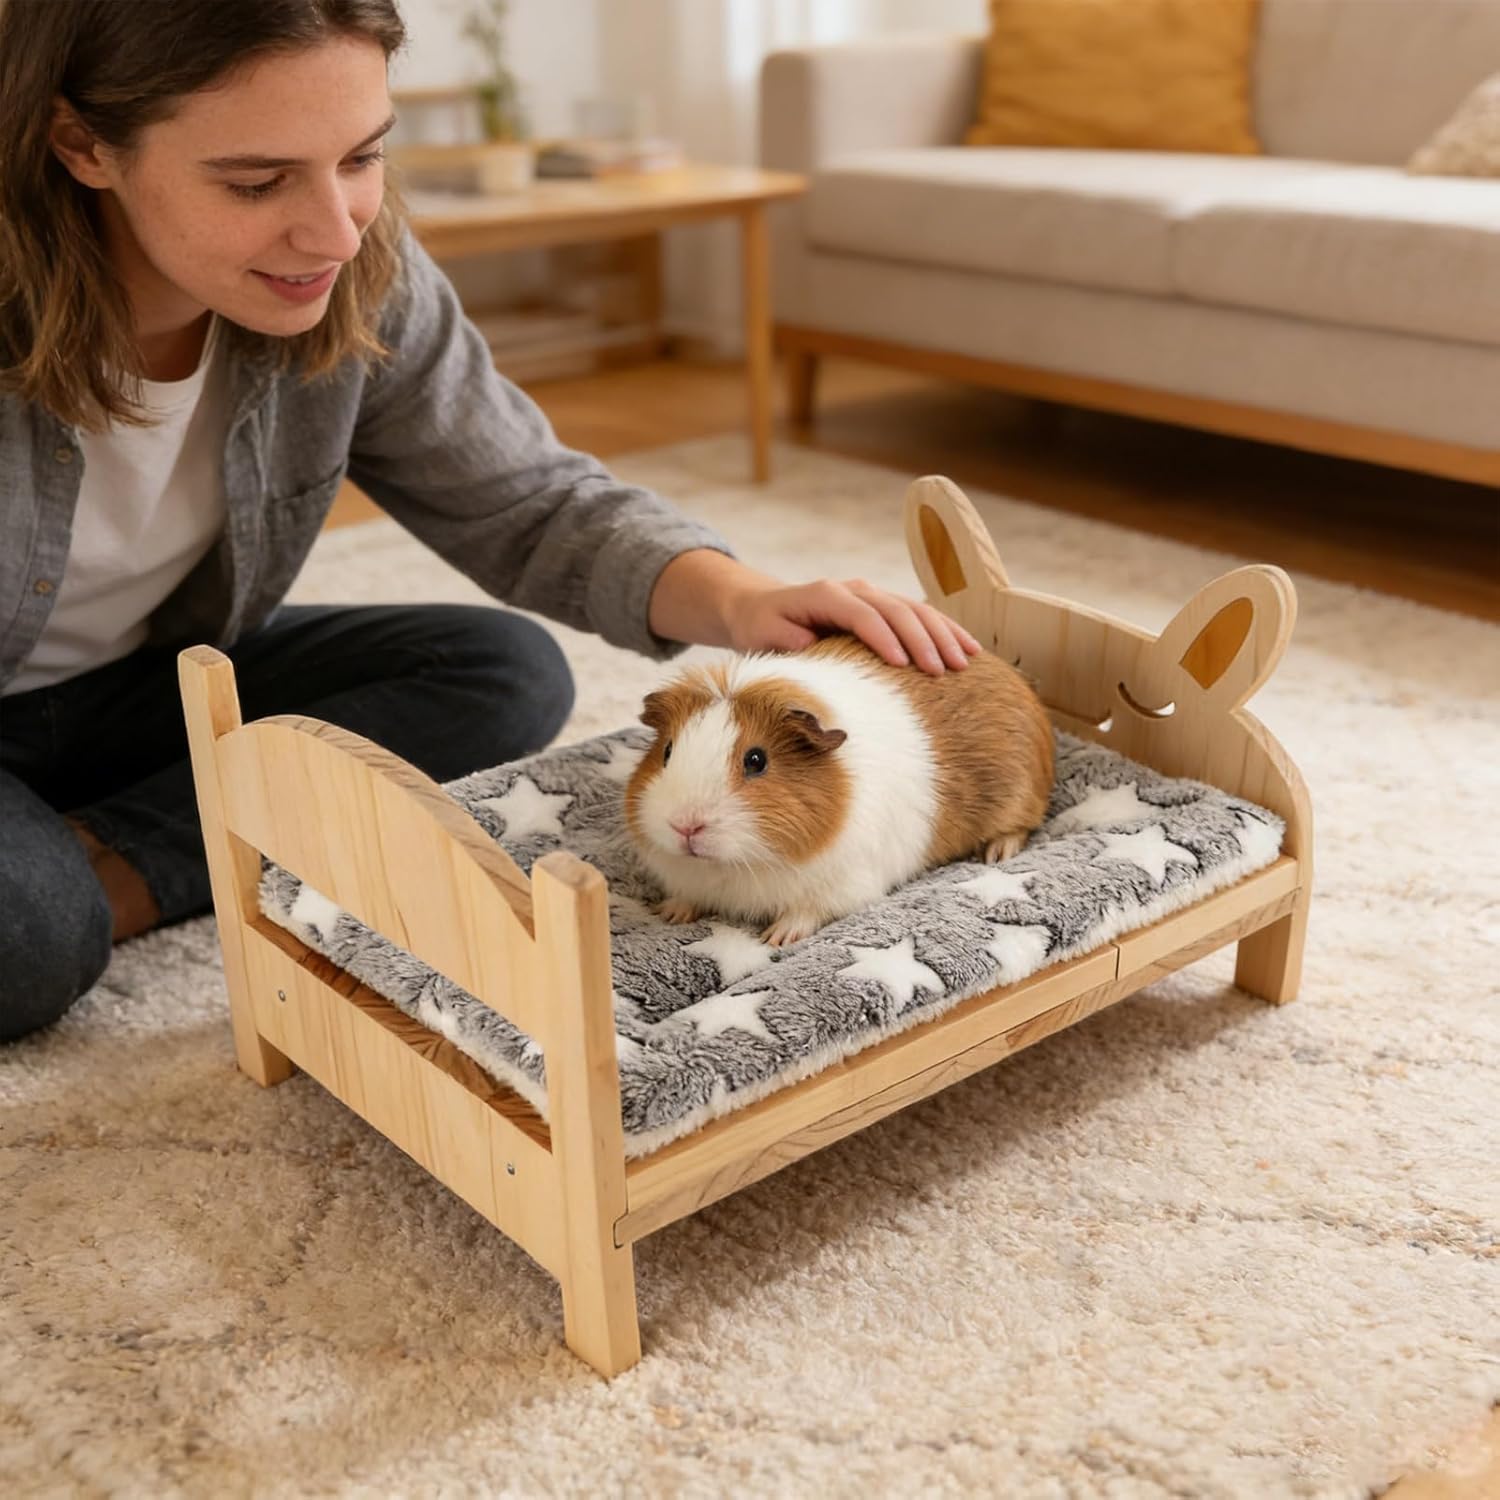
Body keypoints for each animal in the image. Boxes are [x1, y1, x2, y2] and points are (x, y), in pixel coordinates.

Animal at [623, 633, 1055, 946]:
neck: (734, 867)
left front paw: (776, 938)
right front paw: (670, 913)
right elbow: (687, 896)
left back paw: (996, 854)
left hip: (1017, 802)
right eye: (667, 751)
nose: (685, 827)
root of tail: (1009, 672)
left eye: (756, 760)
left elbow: (807, 912)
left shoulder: (843, 886)